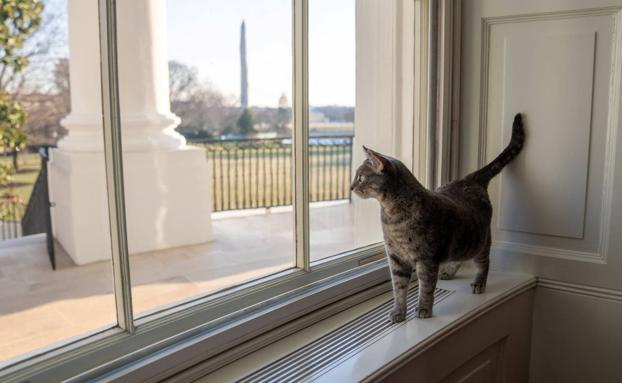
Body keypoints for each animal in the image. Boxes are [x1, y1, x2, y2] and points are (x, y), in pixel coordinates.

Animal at [354, 113, 524, 320]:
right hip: (463, 245)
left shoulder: (426, 258)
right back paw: (449, 271)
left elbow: (426, 287)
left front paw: (424, 309)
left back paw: (479, 282)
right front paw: (398, 311)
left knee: (485, 262)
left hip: (480, 243)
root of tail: (470, 179)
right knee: (460, 257)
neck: (391, 214)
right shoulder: (396, 257)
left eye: (360, 178)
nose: (351, 187)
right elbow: (399, 288)